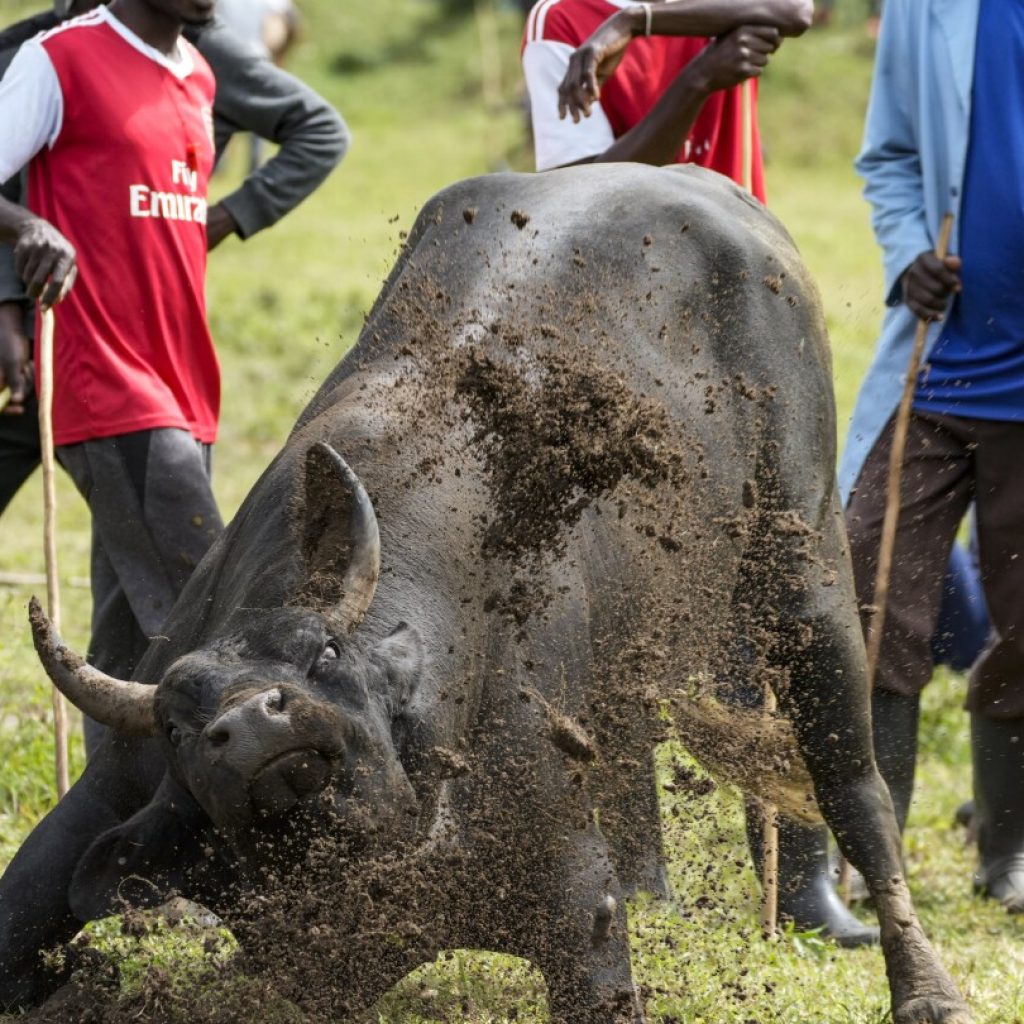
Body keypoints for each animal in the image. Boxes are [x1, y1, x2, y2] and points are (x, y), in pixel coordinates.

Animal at [0, 163, 966, 1019]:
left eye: (324, 651)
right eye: (177, 723)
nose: (251, 726)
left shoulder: (575, 900)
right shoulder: (111, 800)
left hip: (803, 562)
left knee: (855, 782)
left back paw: (928, 989)